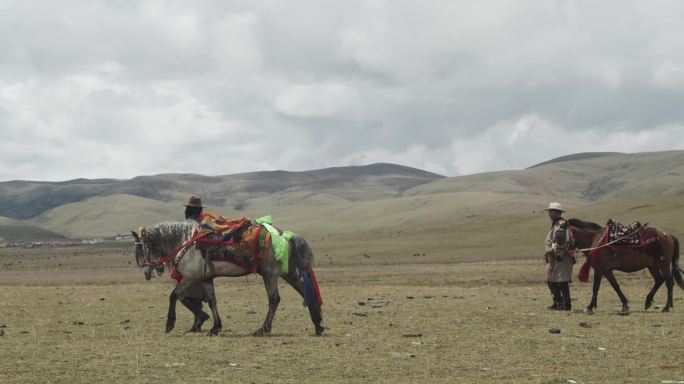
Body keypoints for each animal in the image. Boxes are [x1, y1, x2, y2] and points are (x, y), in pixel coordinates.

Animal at [134, 222, 326, 336]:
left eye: (141, 249)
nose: (146, 273)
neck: (186, 242)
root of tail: (284, 235)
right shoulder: (205, 279)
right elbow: (212, 301)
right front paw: (215, 328)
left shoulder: (189, 277)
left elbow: (173, 295)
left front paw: (169, 324)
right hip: (289, 273)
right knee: (304, 293)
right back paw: (318, 325)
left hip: (270, 274)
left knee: (274, 299)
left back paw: (263, 329)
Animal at [552, 219, 680, 316]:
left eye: (560, 236)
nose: (557, 256)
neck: (595, 239)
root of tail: (668, 236)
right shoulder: (607, 271)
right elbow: (616, 286)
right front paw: (625, 306)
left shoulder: (599, 270)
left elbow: (595, 287)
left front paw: (589, 307)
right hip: (652, 265)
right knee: (659, 280)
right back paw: (648, 302)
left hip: (663, 264)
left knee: (668, 282)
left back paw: (666, 307)